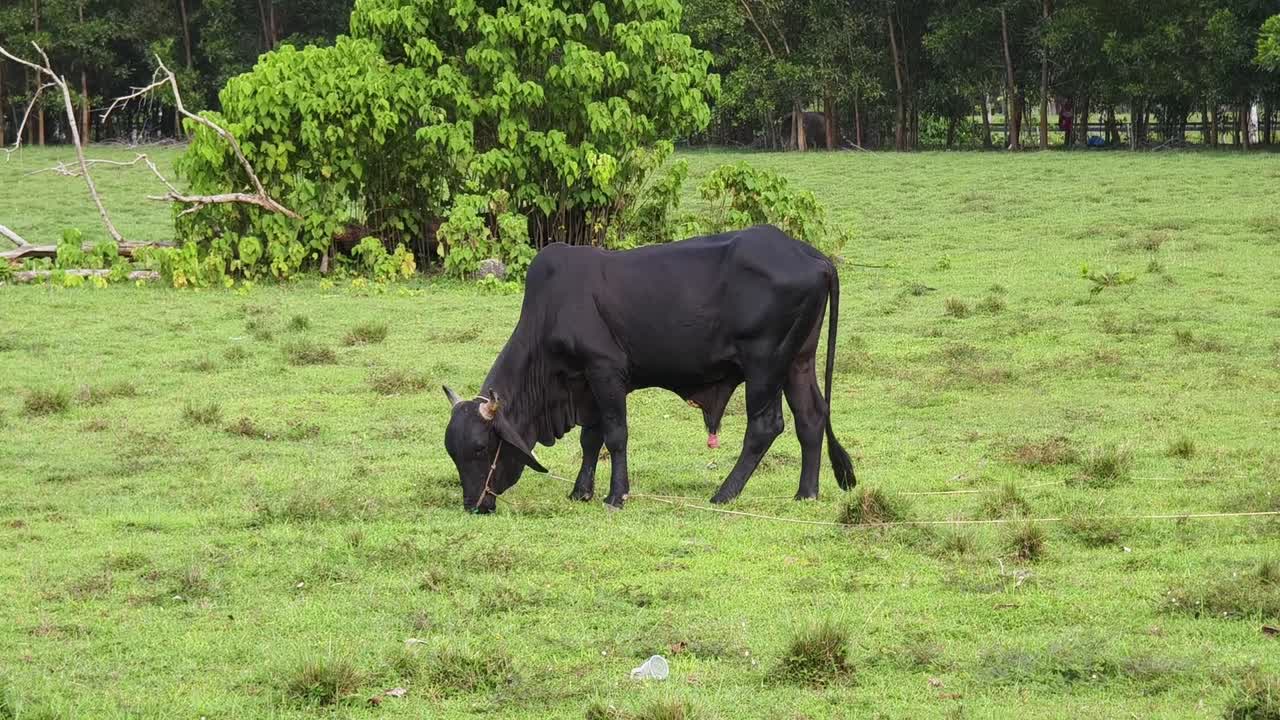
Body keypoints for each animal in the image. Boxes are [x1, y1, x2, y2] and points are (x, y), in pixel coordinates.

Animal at [442, 224, 857, 514]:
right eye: (453, 453)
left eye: (480, 448)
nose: (474, 505)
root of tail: (813, 256)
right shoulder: (586, 384)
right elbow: (591, 439)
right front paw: (580, 491)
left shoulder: (605, 371)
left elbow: (615, 435)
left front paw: (616, 495)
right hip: (797, 361)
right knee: (810, 418)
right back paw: (805, 493)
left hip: (764, 364)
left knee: (765, 427)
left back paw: (724, 493)